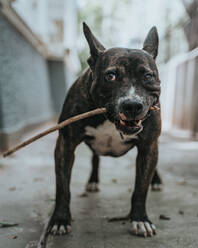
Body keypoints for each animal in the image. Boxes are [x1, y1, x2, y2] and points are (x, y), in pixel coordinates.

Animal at [47, 23, 162, 238]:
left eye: (147, 76)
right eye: (111, 76)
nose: (132, 105)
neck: (110, 119)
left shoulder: (149, 145)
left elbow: (141, 188)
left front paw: (140, 219)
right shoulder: (65, 144)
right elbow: (63, 187)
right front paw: (60, 219)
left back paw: (157, 180)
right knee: (95, 158)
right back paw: (93, 180)